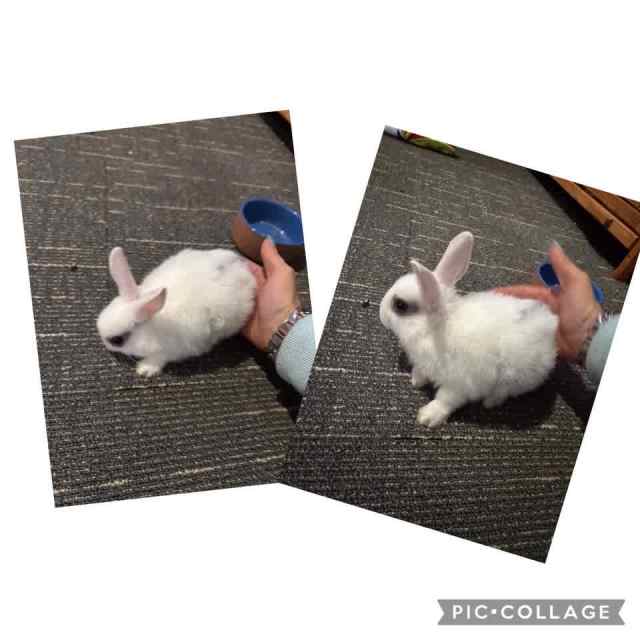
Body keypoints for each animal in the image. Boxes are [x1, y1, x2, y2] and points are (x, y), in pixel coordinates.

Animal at [97, 246, 256, 377]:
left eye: (117, 340)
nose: (105, 345)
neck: (152, 327)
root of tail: (240, 265)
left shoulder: (172, 351)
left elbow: (159, 358)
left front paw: (145, 369)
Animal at [379, 231, 558, 427]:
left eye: (400, 305)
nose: (381, 315)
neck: (435, 328)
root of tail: (550, 322)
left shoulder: (459, 384)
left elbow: (445, 400)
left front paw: (428, 417)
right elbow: (422, 372)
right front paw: (416, 380)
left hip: (515, 376)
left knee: (504, 391)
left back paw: (490, 402)